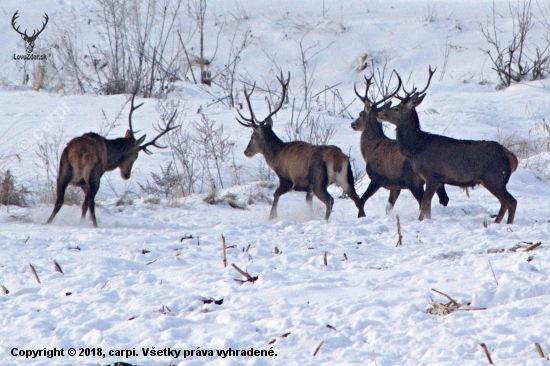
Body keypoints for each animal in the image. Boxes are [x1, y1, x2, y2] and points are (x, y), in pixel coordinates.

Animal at [47, 93, 180, 227]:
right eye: (136, 155)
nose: (126, 175)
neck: (108, 158)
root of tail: (80, 153)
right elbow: (86, 204)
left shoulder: (80, 182)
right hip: (93, 175)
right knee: (89, 203)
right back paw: (94, 225)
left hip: (63, 171)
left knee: (59, 201)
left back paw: (47, 222)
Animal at [237, 73, 366, 219]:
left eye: (252, 137)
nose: (246, 152)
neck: (276, 156)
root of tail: (337, 158)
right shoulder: (308, 188)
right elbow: (307, 201)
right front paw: (310, 216)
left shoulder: (288, 179)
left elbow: (276, 194)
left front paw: (272, 216)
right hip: (346, 178)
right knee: (357, 199)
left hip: (318, 180)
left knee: (330, 200)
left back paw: (325, 220)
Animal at [352, 73, 450, 213]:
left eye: (360, 114)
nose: (353, 124)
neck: (370, 149)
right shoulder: (395, 186)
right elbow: (388, 207)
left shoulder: (377, 178)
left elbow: (361, 200)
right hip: (438, 180)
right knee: (444, 199)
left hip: (413, 179)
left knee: (423, 201)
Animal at [378, 67, 520, 224]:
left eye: (396, 108)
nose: (379, 114)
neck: (416, 148)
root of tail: (511, 157)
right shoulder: (436, 179)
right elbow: (427, 206)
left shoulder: (431, 175)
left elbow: (425, 203)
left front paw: (421, 221)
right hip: (495, 179)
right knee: (505, 203)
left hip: (495, 177)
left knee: (511, 202)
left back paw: (506, 224)